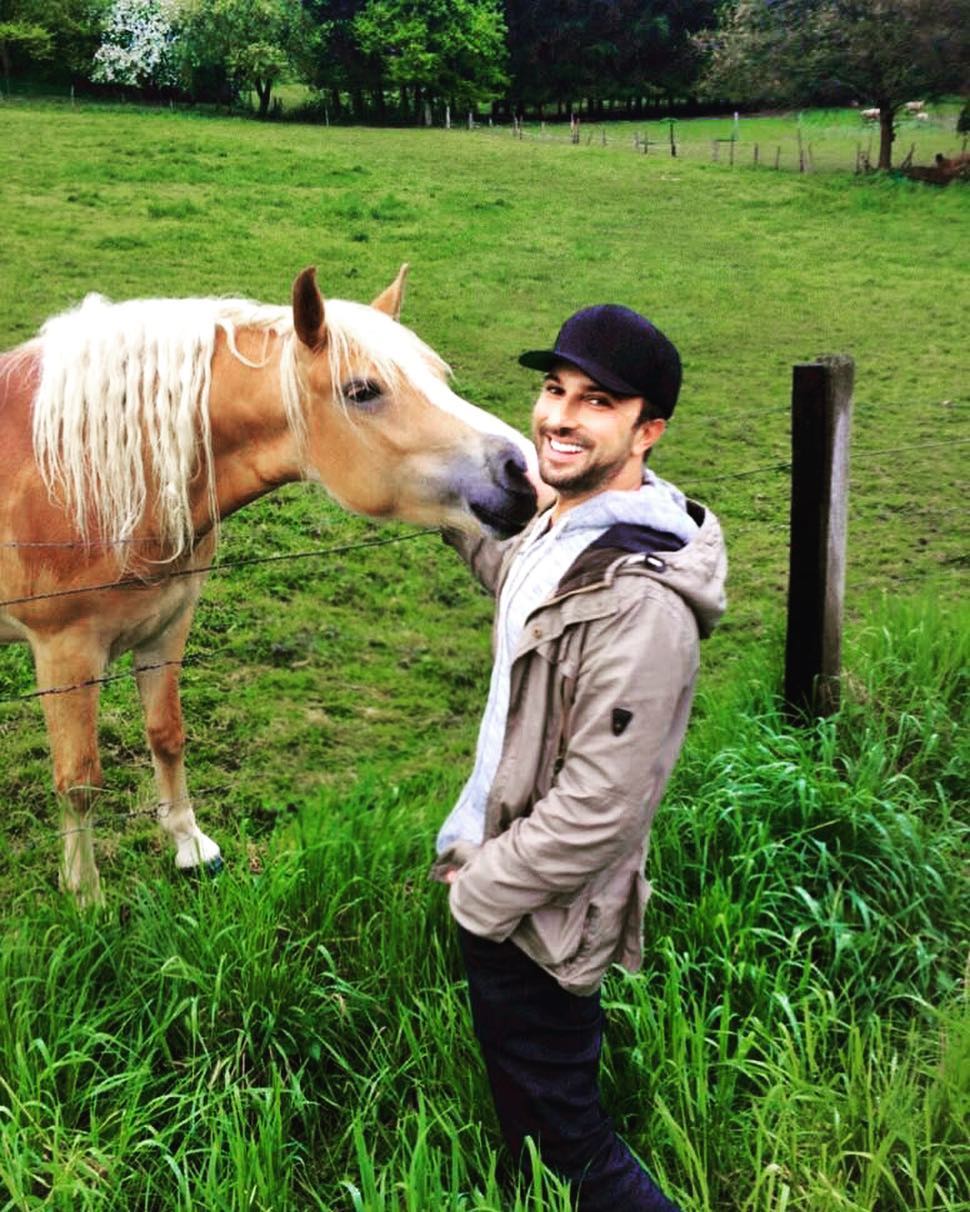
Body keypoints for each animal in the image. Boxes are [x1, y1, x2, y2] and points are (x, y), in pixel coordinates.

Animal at [0, 270, 538, 906]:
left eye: (438, 375)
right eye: (362, 391)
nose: (524, 473)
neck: (82, 472)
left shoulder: (165, 625)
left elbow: (167, 734)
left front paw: (190, 846)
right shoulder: (65, 654)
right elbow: (79, 780)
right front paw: (86, 898)